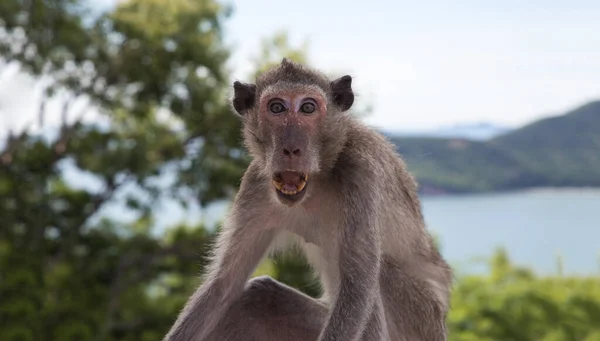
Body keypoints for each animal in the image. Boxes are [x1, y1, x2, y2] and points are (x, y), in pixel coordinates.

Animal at [162, 58, 452, 340]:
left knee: (378, 275)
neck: (321, 176)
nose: (291, 148)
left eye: (308, 108)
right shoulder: (255, 185)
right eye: (277, 108)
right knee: (260, 296)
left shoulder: (361, 175)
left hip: (420, 319)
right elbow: (225, 283)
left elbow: (357, 290)